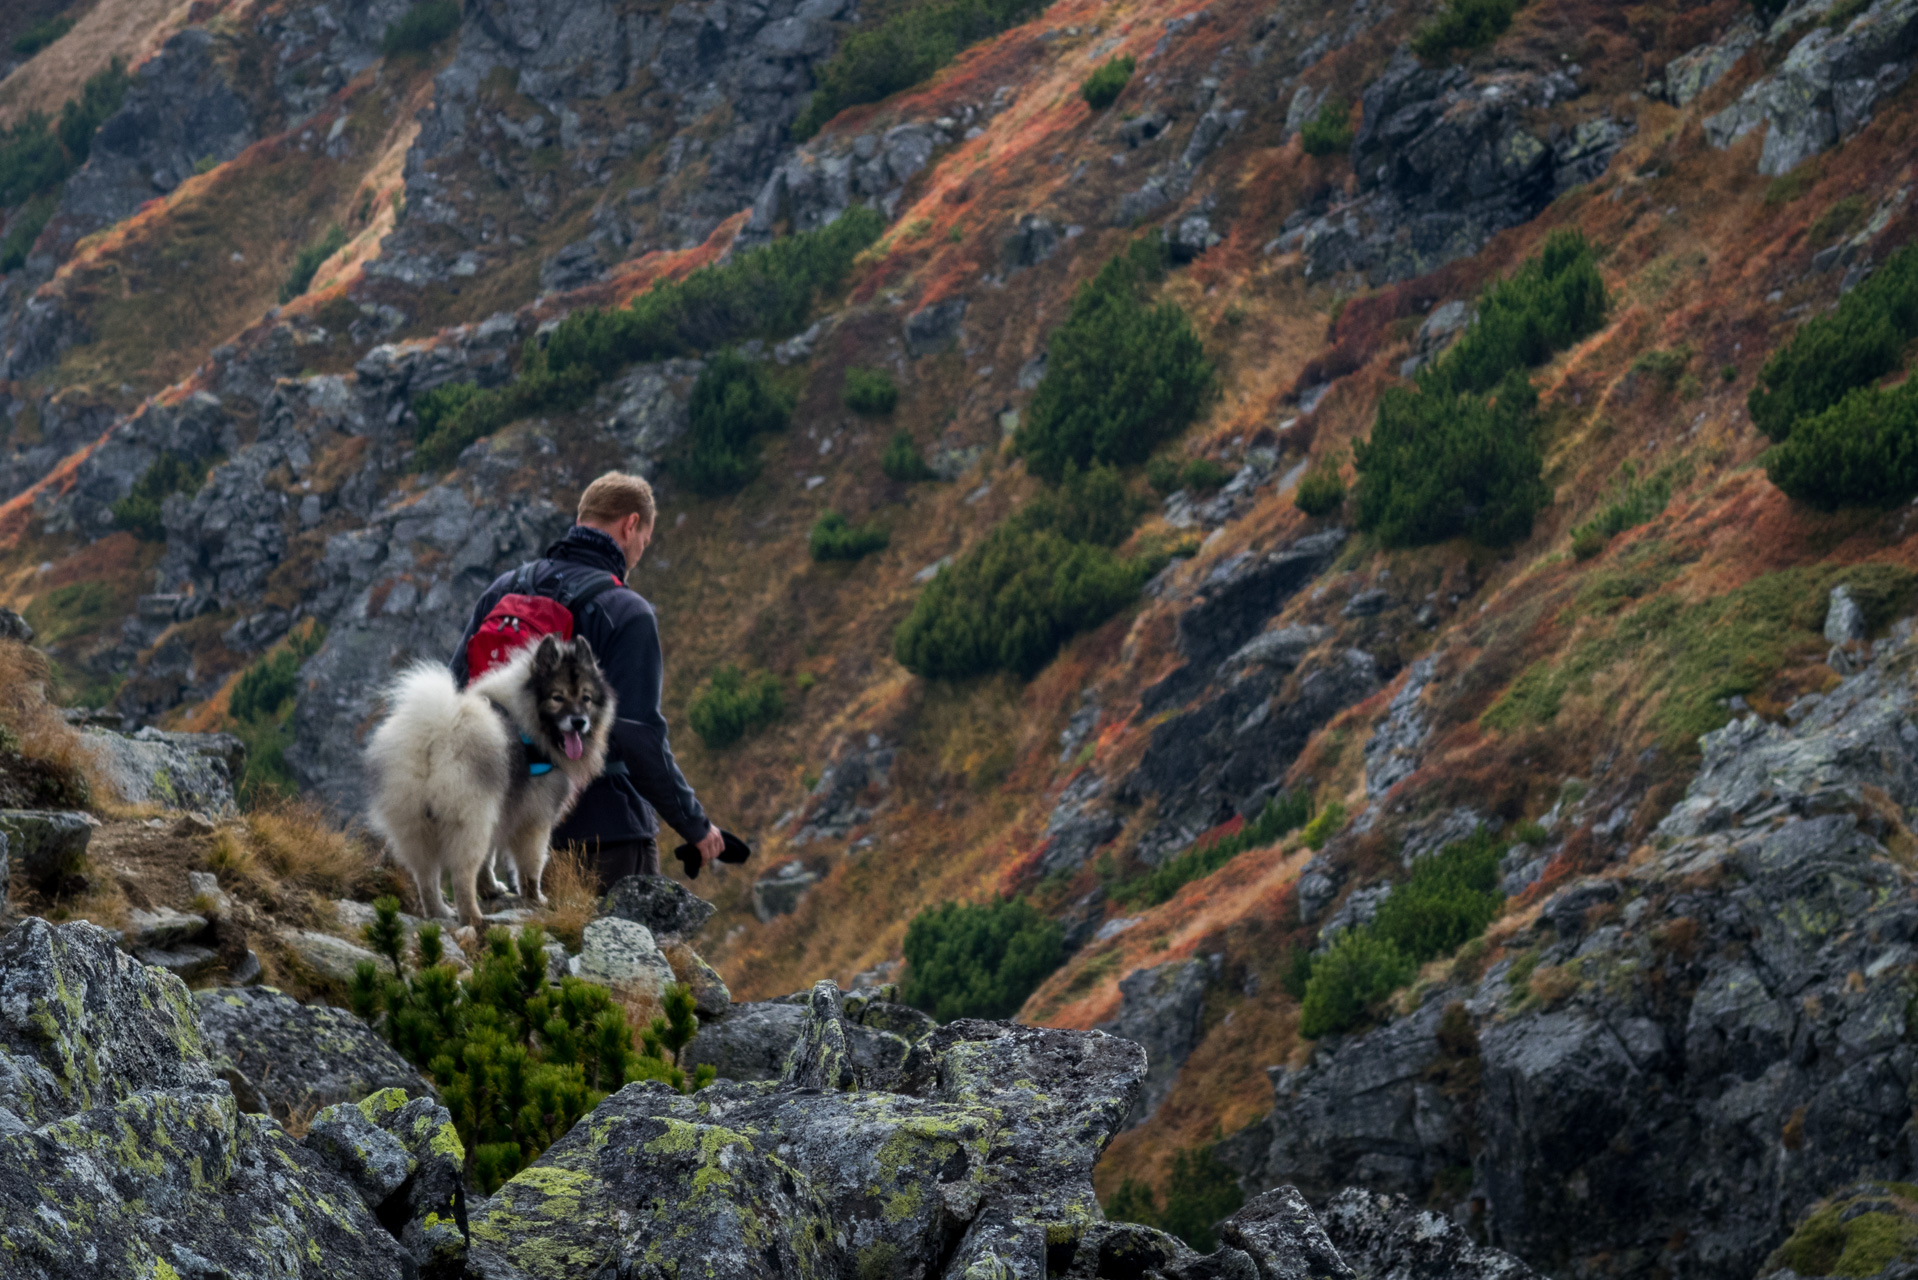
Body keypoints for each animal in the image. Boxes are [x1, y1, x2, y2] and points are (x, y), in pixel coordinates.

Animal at [366, 637, 613, 924]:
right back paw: (473, 919)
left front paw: (491, 888)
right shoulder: (534, 818)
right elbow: (531, 866)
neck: (526, 716)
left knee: (426, 876)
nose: (579, 722)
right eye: (557, 697)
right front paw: (535, 898)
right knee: (462, 875)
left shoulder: (501, 811)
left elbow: (489, 860)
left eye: (586, 698)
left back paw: (439, 913)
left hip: (416, 824)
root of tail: (435, 737)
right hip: (471, 820)